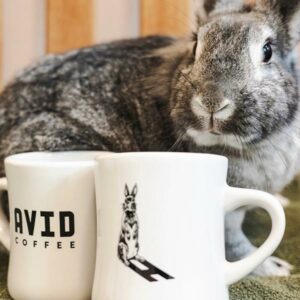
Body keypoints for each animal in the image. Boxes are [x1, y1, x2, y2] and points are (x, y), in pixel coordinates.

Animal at [0, 0, 300, 276]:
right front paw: (275, 269)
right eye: (195, 46)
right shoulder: (227, 210)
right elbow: (235, 243)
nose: (211, 102)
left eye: (267, 51)